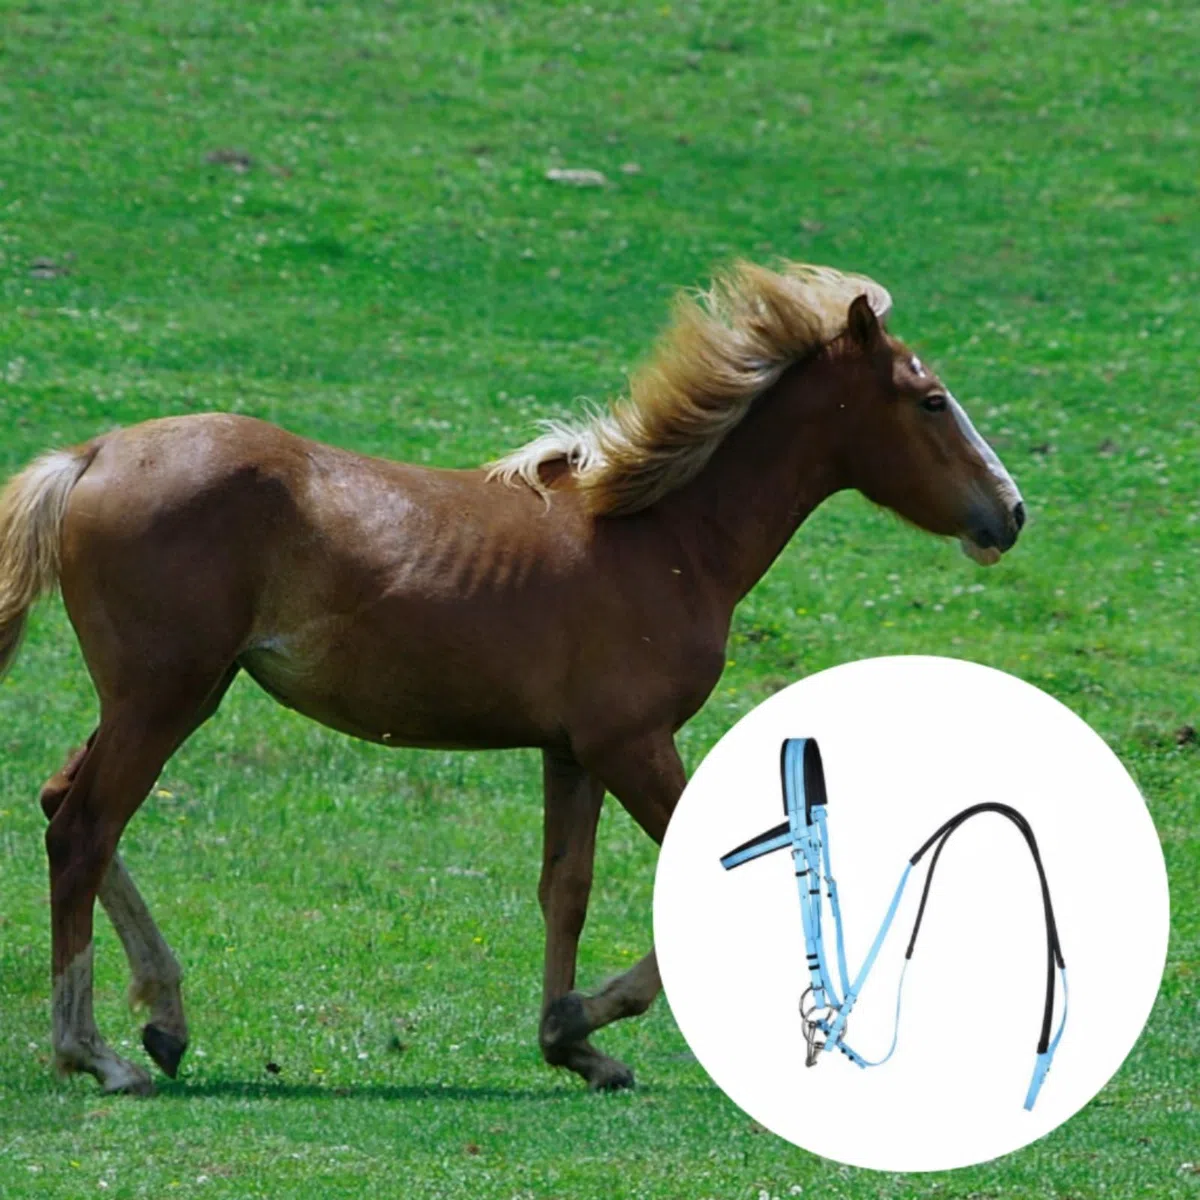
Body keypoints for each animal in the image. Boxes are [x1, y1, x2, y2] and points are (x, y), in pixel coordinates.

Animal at [0, 262, 1024, 1096]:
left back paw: (164, 1016)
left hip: (178, 694)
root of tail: (91, 456)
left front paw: (573, 1042)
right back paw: (95, 1052)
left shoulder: (573, 751)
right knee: (84, 830)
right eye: (931, 401)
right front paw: (584, 1019)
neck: (663, 537)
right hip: (163, 697)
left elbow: (564, 888)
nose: (1010, 513)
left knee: (61, 803)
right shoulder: (631, 742)